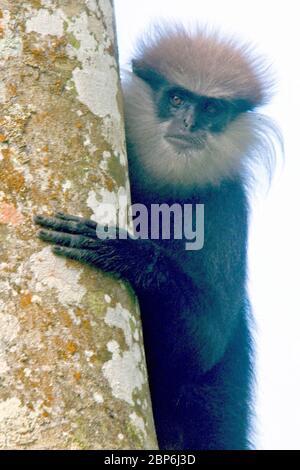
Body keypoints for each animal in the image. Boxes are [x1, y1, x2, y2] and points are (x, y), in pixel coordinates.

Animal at [34, 23, 280, 450]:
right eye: (177, 98)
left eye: (211, 109)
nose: (189, 124)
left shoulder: (226, 204)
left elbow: (203, 343)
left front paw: (124, 253)